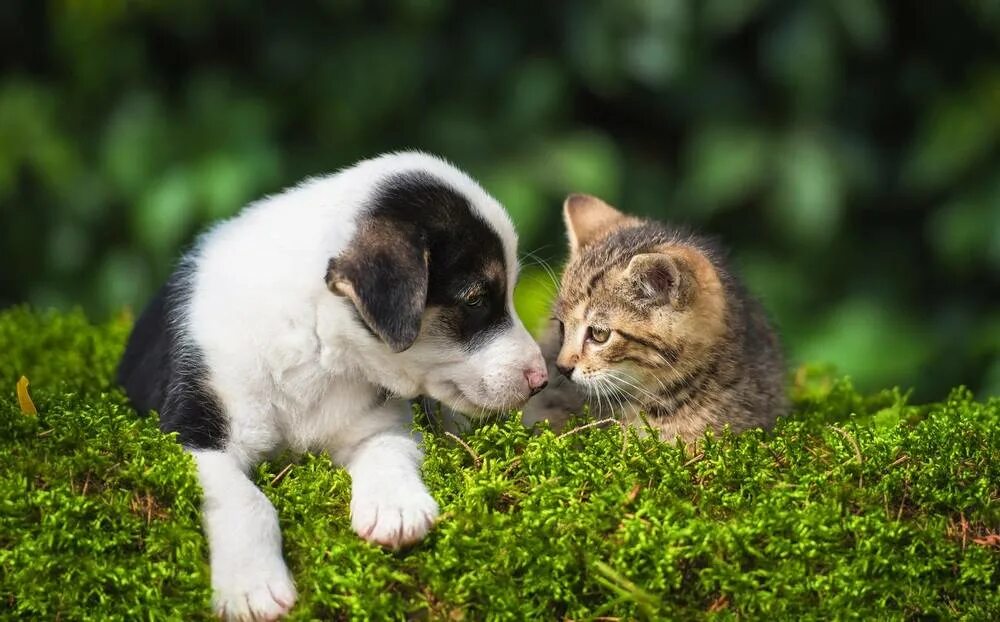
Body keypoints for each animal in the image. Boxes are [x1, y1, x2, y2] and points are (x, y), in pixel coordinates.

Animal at [123, 150, 556, 620]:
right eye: (475, 299)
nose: (541, 379)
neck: (318, 346)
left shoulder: (379, 423)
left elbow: (388, 454)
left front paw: (395, 509)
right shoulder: (194, 433)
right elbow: (244, 499)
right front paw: (252, 587)